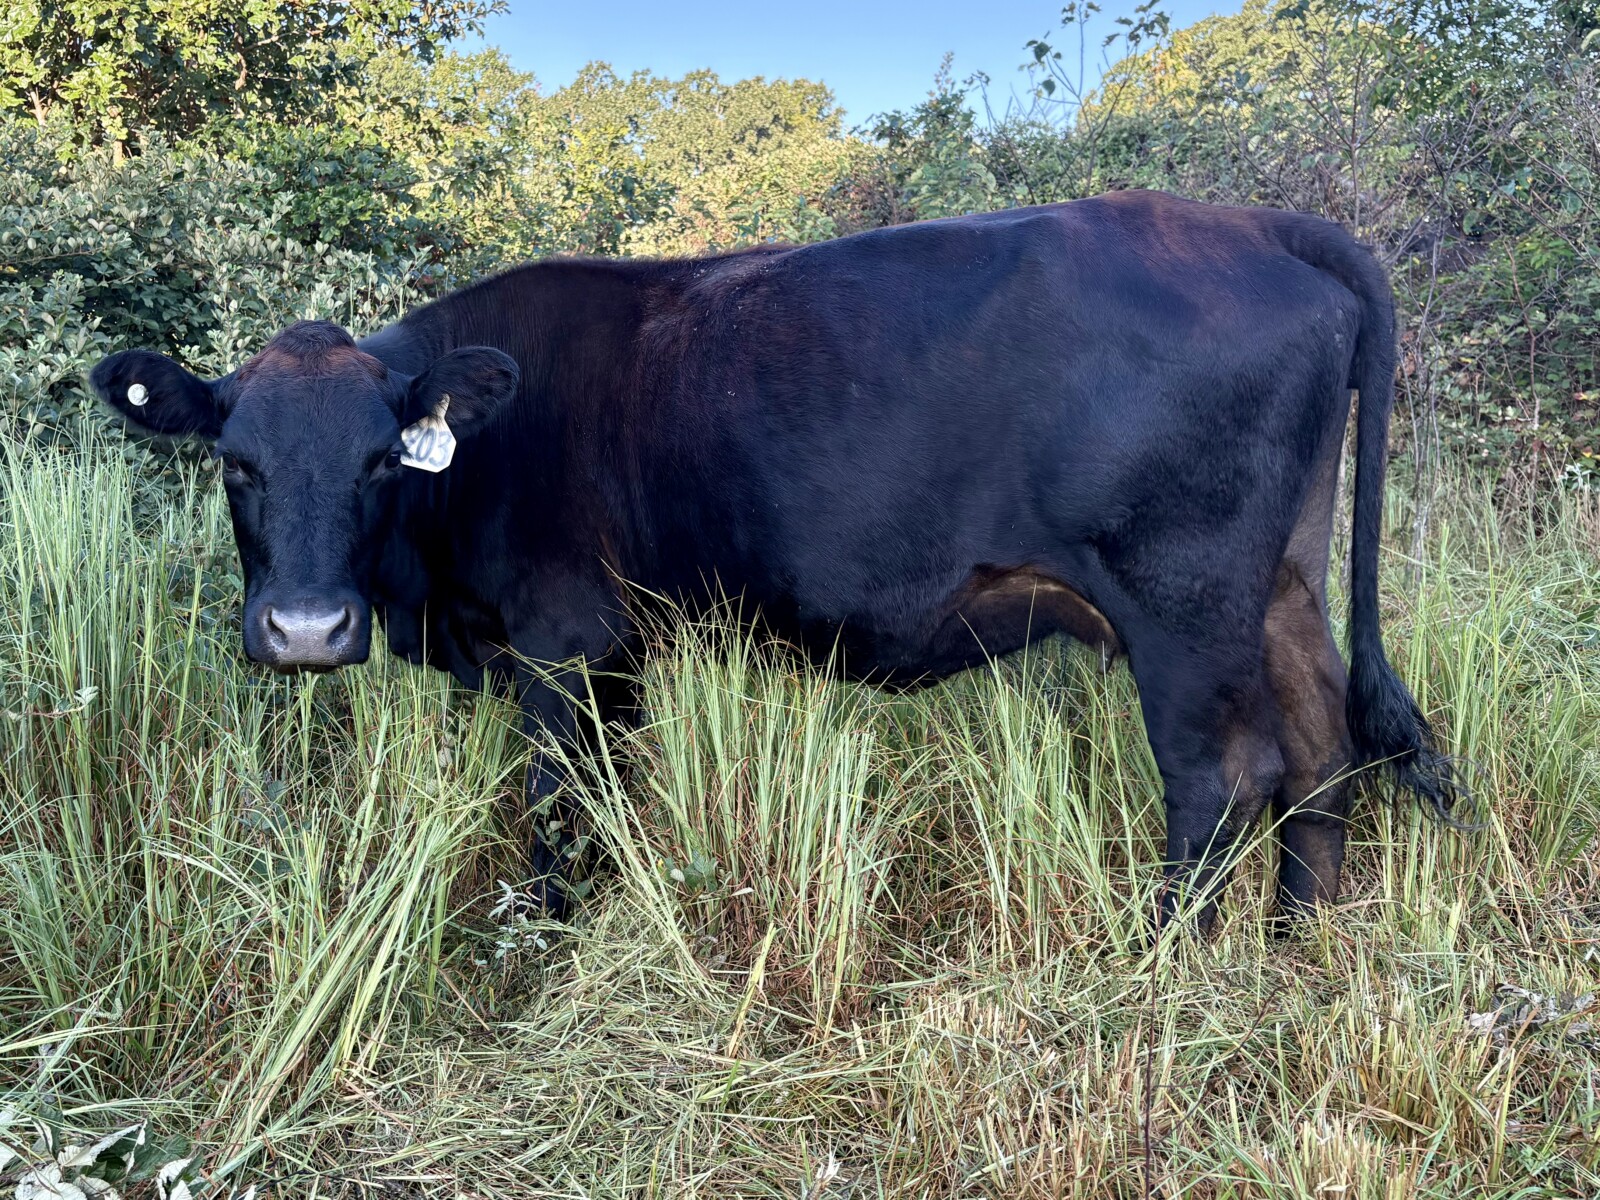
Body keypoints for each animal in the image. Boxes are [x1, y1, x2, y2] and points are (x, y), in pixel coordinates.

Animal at [91, 190, 1463, 925]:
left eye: (384, 459)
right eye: (234, 463)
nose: (303, 630)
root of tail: (1251, 222)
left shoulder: (560, 649)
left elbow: (554, 809)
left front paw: (541, 937)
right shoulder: (623, 655)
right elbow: (612, 800)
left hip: (1182, 607)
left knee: (1223, 779)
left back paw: (1159, 965)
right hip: (1281, 583)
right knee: (1320, 750)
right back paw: (1294, 943)